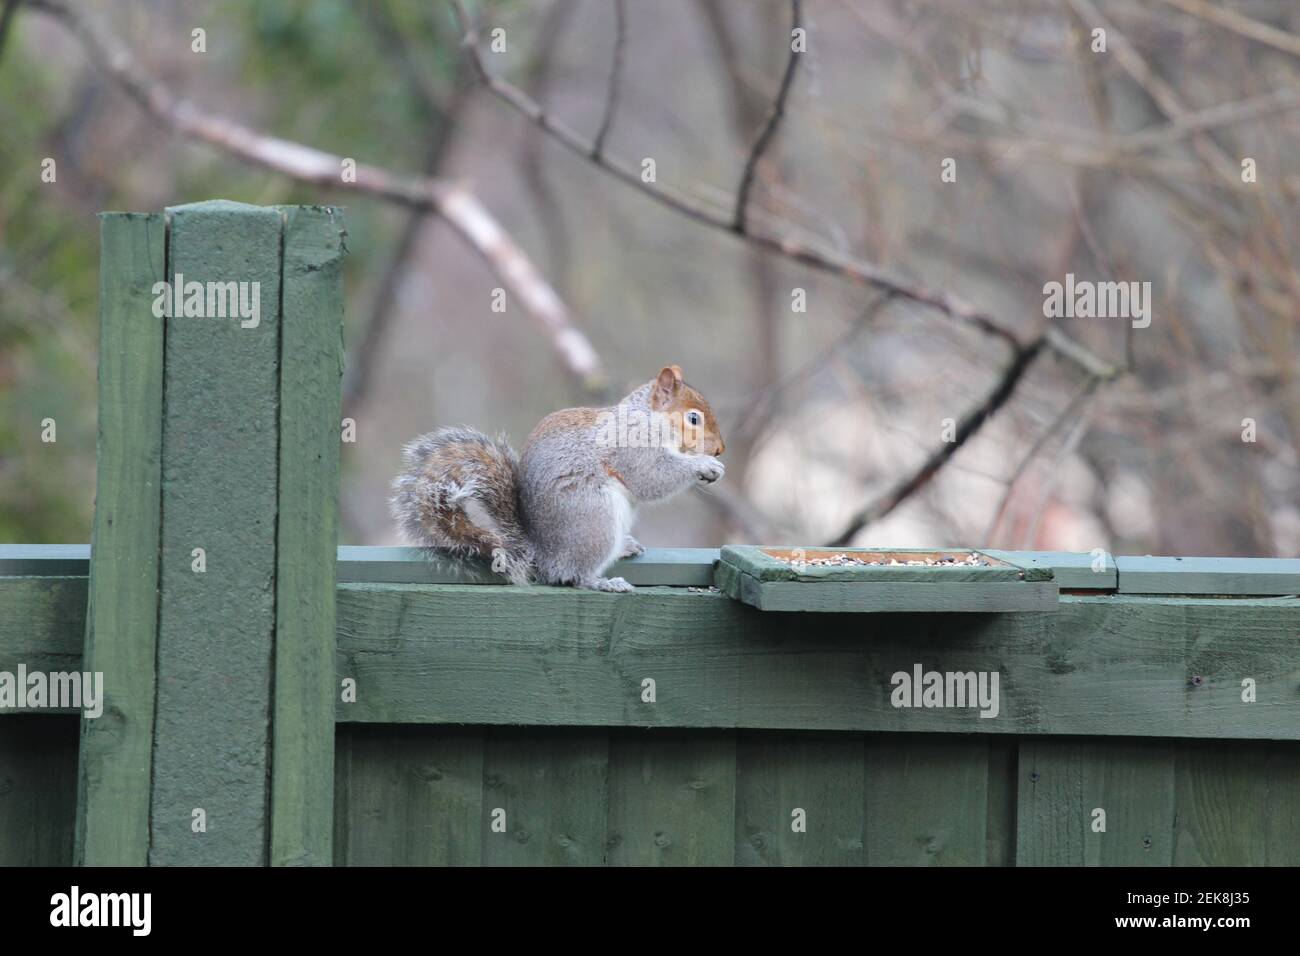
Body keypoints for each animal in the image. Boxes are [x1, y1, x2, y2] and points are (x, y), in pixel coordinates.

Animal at [390, 366, 728, 590]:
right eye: (693, 418)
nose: (720, 449)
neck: (649, 418)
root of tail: (543, 556)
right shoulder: (631, 445)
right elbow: (652, 477)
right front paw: (705, 465)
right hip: (595, 519)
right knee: (574, 575)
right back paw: (603, 582)